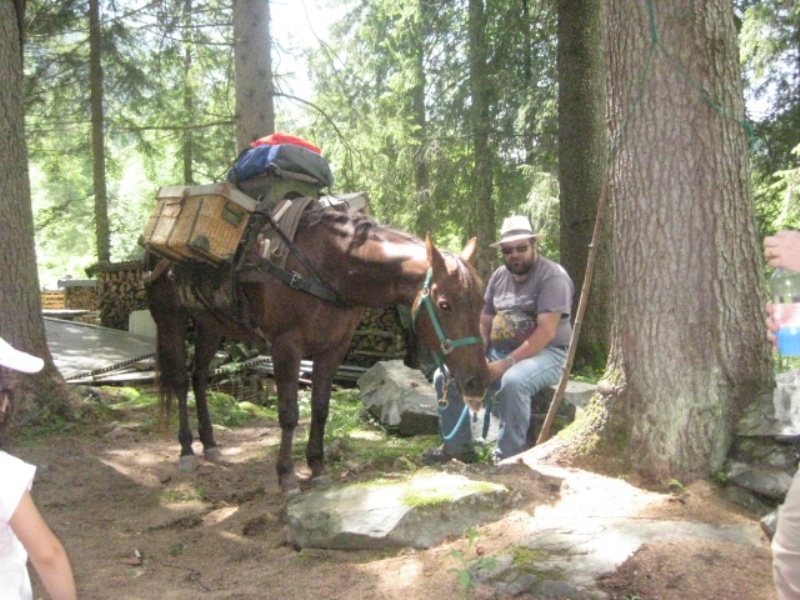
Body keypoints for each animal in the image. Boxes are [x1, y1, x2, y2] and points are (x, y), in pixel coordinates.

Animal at [144, 203, 490, 496]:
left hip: (211, 325)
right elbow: (288, 414)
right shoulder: (286, 347)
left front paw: (318, 467)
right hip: (170, 318)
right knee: (180, 380)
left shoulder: (333, 348)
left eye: (481, 302)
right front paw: (287, 476)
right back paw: (187, 450)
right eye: (444, 304)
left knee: (199, 376)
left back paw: (211, 444)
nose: (478, 382)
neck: (329, 267)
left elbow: (321, 409)